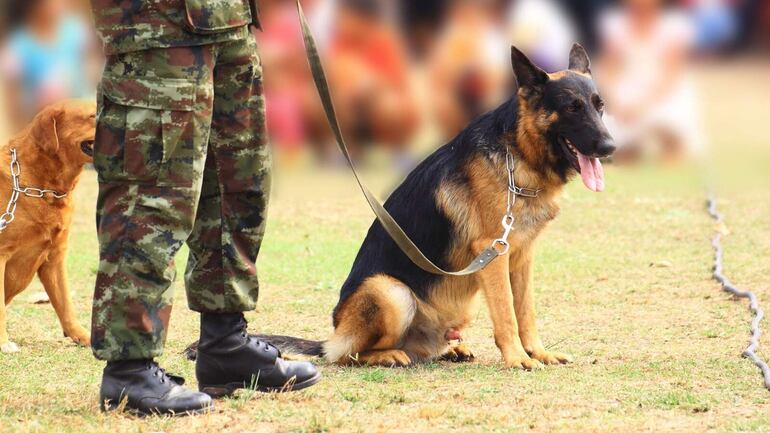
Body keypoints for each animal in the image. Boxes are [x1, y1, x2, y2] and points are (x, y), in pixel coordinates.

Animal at [184, 44, 612, 368]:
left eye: (599, 105)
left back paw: (449, 348)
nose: (610, 147)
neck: (517, 153)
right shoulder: (494, 255)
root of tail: (333, 334)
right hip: (391, 292)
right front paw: (518, 359)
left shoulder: (521, 257)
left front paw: (538, 353)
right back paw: (387, 355)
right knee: (348, 355)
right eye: (572, 108)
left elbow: (525, 311)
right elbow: (507, 313)